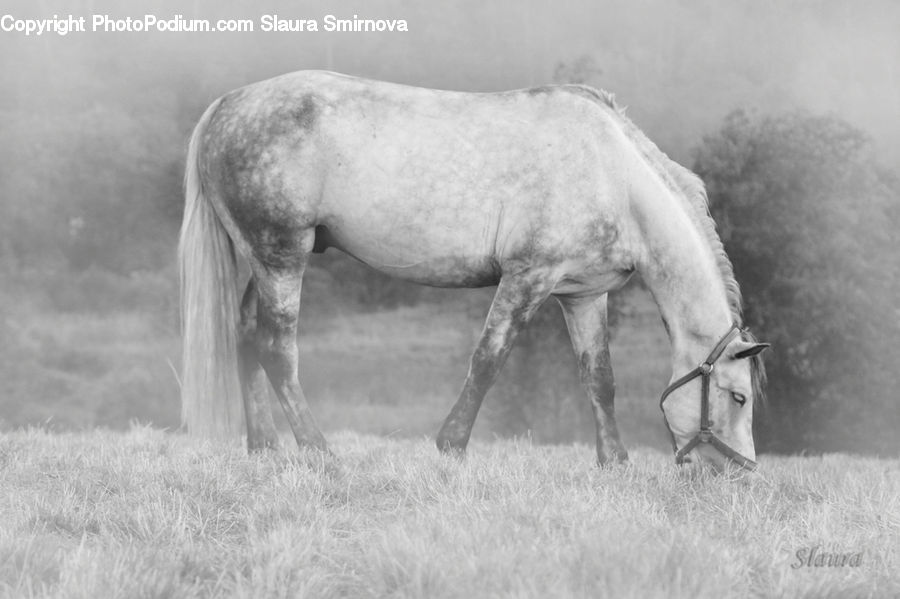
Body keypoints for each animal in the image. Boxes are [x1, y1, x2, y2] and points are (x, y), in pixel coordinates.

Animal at [178, 70, 768, 472]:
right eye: (738, 397)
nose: (738, 474)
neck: (615, 176)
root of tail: (227, 105)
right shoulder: (527, 277)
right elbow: (488, 361)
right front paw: (451, 446)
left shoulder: (582, 295)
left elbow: (600, 378)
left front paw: (614, 463)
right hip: (282, 255)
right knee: (277, 348)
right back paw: (319, 452)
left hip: (262, 259)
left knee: (246, 334)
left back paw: (264, 448)